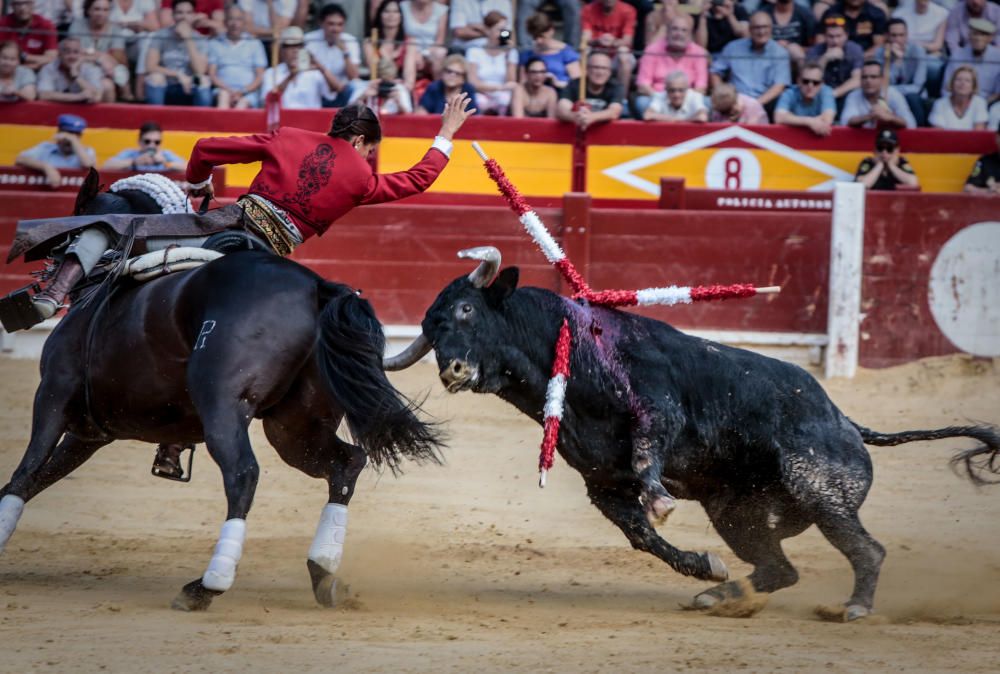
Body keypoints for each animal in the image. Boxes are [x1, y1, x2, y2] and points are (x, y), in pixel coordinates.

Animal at [0, 181, 442, 608]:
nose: (43, 279)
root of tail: (317, 287)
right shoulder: (91, 431)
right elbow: (41, 475)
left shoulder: (53, 394)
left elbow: (26, 469)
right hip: (295, 427)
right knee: (346, 463)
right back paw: (323, 574)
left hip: (223, 405)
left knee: (243, 473)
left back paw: (207, 585)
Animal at [388, 248, 1000, 620]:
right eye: (429, 330)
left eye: (466, 310)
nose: (452, 370)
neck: (568, 354)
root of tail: (847, 422)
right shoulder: (602, 483)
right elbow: (641, 535)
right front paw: (704, 565)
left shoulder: (658, 412)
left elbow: (648, 461)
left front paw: (662, 501)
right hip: (738, 513)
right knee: (779, 567)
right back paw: (717, 593)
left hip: (820, 489)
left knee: (865, 548)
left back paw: (853, 608)